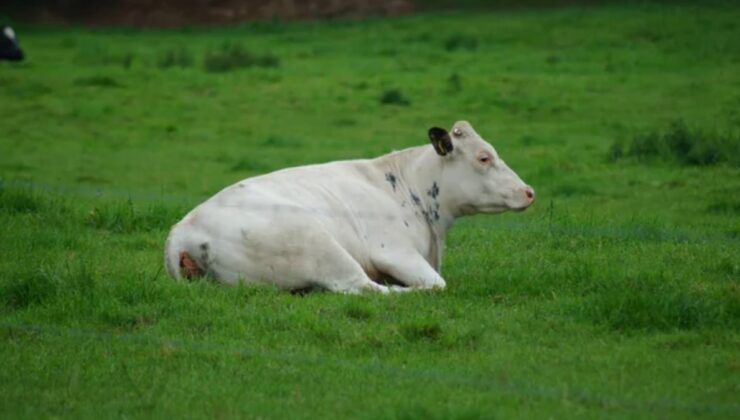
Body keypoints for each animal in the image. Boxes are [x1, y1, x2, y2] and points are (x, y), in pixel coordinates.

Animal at [163, 120, 532, 294]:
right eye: (483, 157)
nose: (529, 192)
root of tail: (184, 229)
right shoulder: (394, 251)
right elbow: (438, 284)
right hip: (319, 245)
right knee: (362, 288)